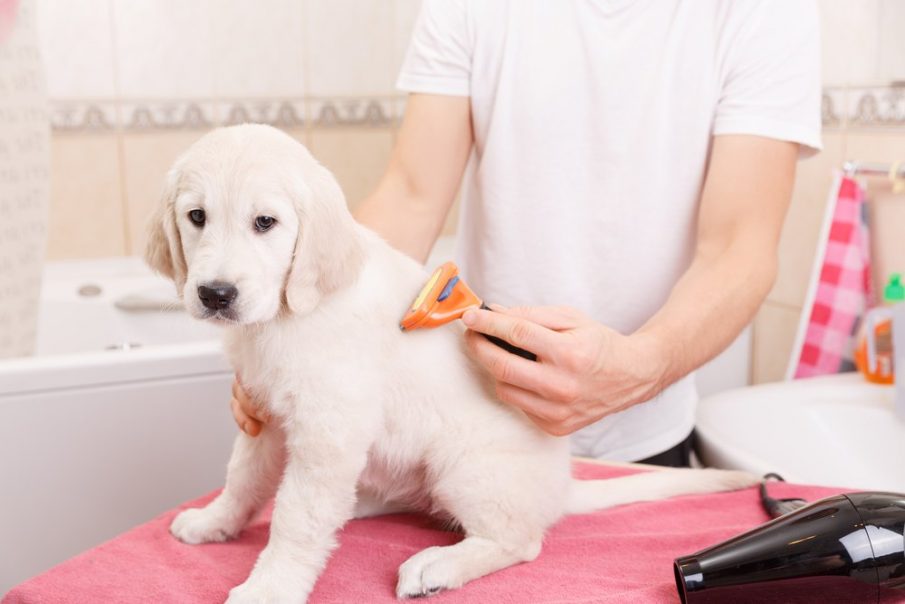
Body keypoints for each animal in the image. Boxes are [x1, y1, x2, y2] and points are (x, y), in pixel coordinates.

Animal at [148, 125, 756, 600]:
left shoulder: (327, 431)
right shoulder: (266, 419)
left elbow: (297, 518)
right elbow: (243, 478)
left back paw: (439, 564)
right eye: (197, 217)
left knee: (520, 540)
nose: (215, 294)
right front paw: (216, 522)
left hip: (463, 465)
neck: (285, 316)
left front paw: (269, 588)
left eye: (265, 223)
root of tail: (559, 490)